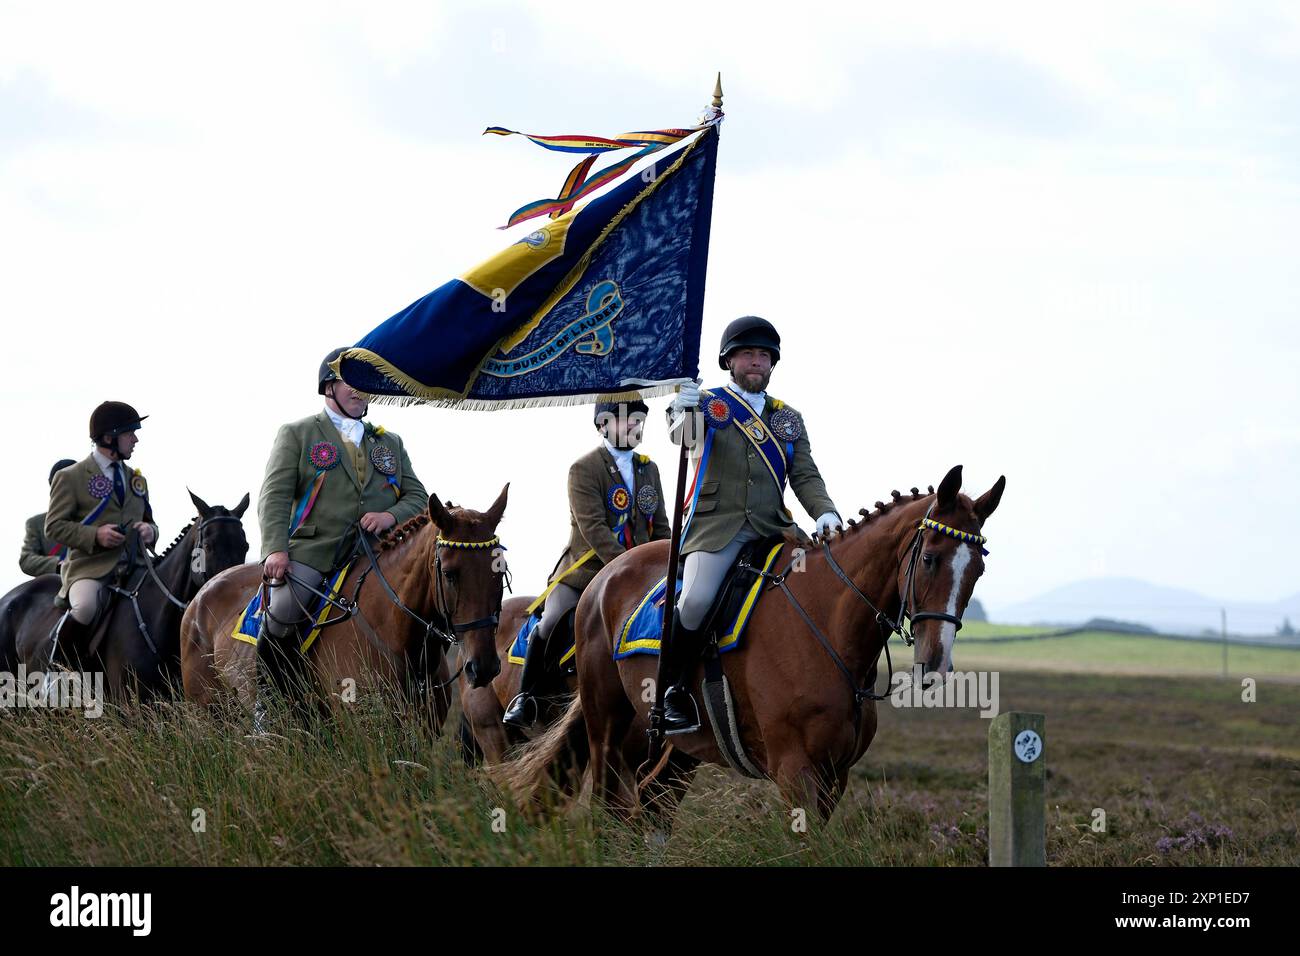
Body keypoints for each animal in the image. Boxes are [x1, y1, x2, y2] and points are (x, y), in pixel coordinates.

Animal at [504, 468, 1003, 827]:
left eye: (979, 570)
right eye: (930, 558)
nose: (935, 665)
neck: (827, 623)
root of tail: (603, 577)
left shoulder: (835, 775)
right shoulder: (795, 770)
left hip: (679, 746)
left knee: (652, 804)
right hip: (608, 724)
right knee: (610, 810)